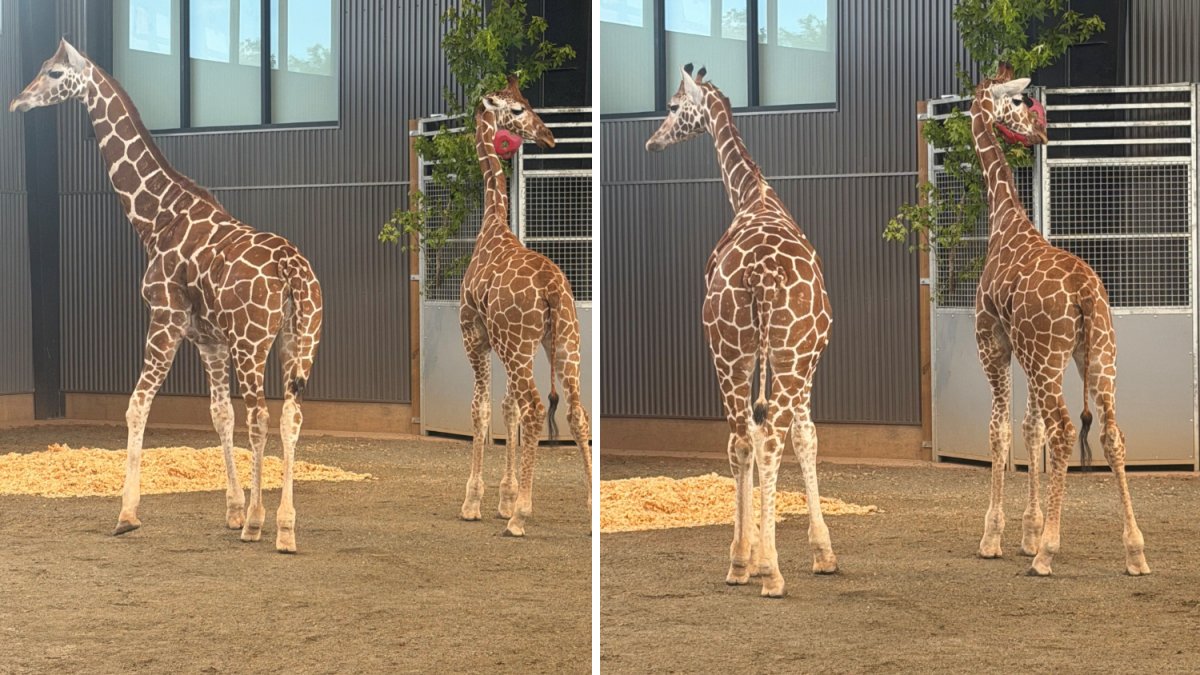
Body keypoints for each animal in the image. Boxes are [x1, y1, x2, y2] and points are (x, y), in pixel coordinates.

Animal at [10, 39, 323, 553]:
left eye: (54, 73)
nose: (18, 102)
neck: (157, 217)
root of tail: (292, 270)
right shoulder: (208, 339)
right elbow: (220, 415)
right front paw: (232, 510)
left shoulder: (165, 317)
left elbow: (138, 405)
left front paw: (127, 513)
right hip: (300, 340)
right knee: (290, 416)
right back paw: (285, 527)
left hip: (253, 342)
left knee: (262, 415)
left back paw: (261, 523)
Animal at [458, 76, 592, 537]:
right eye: (517, 109)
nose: (549, 135)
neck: (492, 225)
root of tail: (552, 288)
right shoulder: (507, 345)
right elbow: (506, 409)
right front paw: (504, 496)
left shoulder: (475, 337)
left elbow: (482, 410)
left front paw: (476, 502)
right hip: (563, 341)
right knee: (577, 411)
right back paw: (591, 506)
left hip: (520, 346)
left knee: (535, 408)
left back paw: (521, 516)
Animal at [646, 64, 836, 598]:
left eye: (673, 106)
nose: (652, 141)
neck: (754, 195)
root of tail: (761, 276)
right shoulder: (804, 358)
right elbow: (805, 436)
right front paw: (820, 552)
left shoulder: (779, 359)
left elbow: (791, 435)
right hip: (770, 352)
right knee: (763, 438)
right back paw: (765, 568)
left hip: (733, 351)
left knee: (743, 438)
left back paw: (741, 563)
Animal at [970, 64, 1149, 576]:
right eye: (1018, 102)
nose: (1040, 132)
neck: (1006, 220)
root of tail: (1085, 293)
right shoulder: (1025, 352)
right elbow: (1030, 430)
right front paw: (1027, 531)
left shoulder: (993, 343)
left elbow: (1001, 431)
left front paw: (996, 537)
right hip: (1098, 354)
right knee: (1112, 433)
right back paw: (1135, 551)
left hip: (1051, 357)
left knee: (1067, 430)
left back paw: (1048, 552)